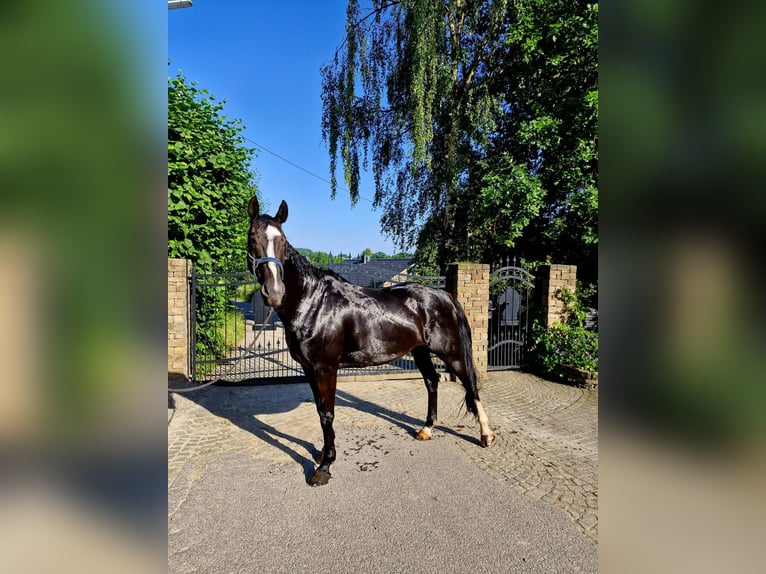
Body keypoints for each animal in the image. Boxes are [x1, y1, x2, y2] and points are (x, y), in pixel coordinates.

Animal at [246, 196, 494, 486]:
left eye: (283, 241)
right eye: (252, 238)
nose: (273, 292)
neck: (313, 301)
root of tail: (445, 296)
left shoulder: (325, 368)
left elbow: (327, 414)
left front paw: (325, 466)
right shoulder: (310, 369)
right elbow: (320, 411)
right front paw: (321, 454)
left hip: (452, 353)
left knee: (470, 386)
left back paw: (486, 435)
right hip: (420, 352)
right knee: (432, 382)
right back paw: (426, 429)